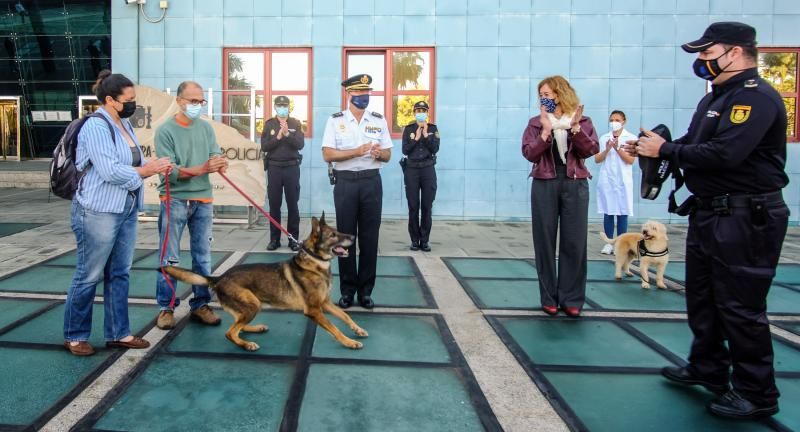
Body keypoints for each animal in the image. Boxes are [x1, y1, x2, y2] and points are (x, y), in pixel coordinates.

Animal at [160, 213, 372, 352]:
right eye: (333, 235)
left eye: (338, 231)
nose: (353, 236)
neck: (314, 261)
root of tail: (219, 278)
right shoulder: (314, 310)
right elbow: (335, 328)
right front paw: (349, 342)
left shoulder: (325, 303)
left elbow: (345, 316)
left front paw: (358, 329)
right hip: (252, 304)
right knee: (231, 332)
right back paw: (247, 345)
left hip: (252, 306)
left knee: (238, 326)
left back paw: (255, 329)